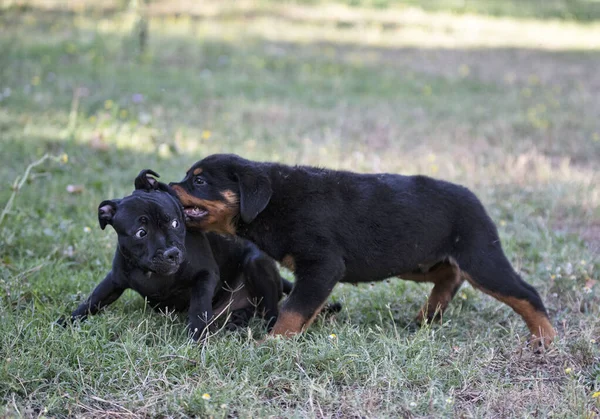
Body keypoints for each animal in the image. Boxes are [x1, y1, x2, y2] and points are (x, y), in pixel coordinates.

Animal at [64, 169, 290, 340]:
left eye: (175, 222)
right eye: (141, 233)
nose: (172, 253)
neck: (152, 273)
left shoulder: (205, 275)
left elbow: (199, 305)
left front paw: (197, 336)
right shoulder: (114, 280)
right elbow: (92, 300)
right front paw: (66, 322)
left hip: (256, 263)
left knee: (270, 309)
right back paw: (238, 320)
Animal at [169, 154, 556, 348]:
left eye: (199, 181)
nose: (169, 187)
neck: (272, 203)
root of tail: (475, 198)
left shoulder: (322, 264)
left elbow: (292, 310)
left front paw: (272, 343)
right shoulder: (317, 273)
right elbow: (302, 307)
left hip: (480, 257)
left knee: (524, 291)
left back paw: (544, 337)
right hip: (414, 260)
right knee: (450, 274)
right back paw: (427, 316)